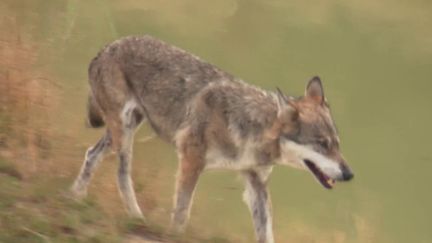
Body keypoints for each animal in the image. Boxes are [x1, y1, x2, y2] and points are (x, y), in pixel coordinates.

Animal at [71, 35, 354, 242]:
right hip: (124, 135)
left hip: (119, 132)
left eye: (337, 144)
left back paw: (75, 196)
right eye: (322, 144)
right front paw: (173, 236)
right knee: (122, 174)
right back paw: (135, 217)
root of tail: (109, 46)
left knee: (91, 154)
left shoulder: (257, 184)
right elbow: (182, 213)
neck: (250, 127)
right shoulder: (191, 161)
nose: (350, 174)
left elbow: (266, 232)